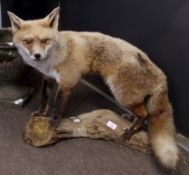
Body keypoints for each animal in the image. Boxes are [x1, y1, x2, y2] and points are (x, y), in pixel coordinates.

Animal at [7, 6, 179, 168]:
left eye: (45, 40)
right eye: (28, 41)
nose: (37, 56)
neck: (53, 58)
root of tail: (161, 76)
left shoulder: (67, 83)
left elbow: (57, 108)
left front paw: (54, 123)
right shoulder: (48, 78)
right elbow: (44, 99)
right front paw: (41, 113)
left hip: (121, 95)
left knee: (145, 114)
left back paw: (130, 130)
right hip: (130, 97)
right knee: (143, 112)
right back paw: (130, 119)